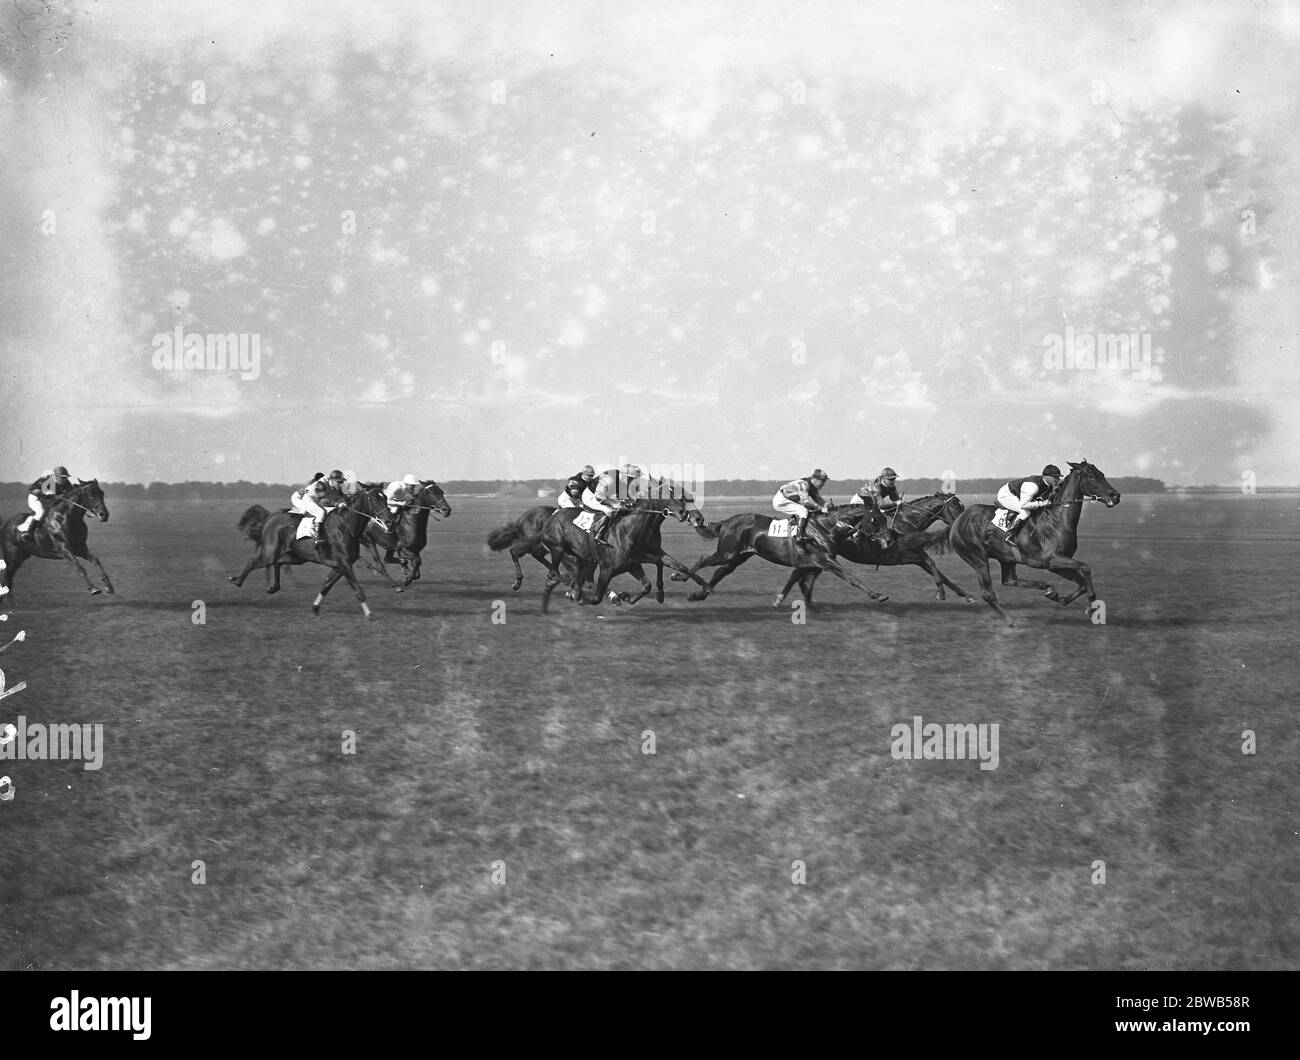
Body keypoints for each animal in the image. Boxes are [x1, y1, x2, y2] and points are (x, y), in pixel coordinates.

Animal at [228, 483, 397, 616]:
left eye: (385, 498)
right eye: (374, 499)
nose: (390, 521)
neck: (346, 526)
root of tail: (271, 517)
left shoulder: (340, 565)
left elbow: (326, 585)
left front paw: (315, 607)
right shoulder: (345, 564)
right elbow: (357, 589)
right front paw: (369, 614)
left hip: (296, 557)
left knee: (279, 563)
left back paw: (273, 587)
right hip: (270, 552)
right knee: (253, 561)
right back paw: (236, 580)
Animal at [535, 491, 712, 613]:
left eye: (683, 497)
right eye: (665, 495)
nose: (686, 514)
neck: (630, 530)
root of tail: (554, 515)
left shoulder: (636, 562)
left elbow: (655, 580)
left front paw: (704, 586)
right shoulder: (608, 569)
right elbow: (596, 598)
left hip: (583, 558)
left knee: (582, 579)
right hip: (558, 549)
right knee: (555, 574)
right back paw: (575, 590)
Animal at [670, 504, 894, 606]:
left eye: (884, 518)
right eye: (874, 520)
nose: (890, 540)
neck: (826, 528)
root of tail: (726, 522)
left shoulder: (810, 565)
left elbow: (802, 584)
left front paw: (808, 606)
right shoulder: (825, 561)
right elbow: (851, 577)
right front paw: (878, 595)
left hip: (738, 557)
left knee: (719, 574)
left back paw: (699, 594)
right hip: (727, 553)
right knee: (703, 560)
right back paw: (680, 576)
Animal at [769, 494, 977, 608]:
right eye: (956, 505)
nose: (964, 521)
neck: (906, 523)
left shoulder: (917, 555)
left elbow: (938, 570)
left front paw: (965, 595)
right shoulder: (902, 556)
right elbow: (933, 566)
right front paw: (941, 593)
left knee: (804, 575)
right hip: (822, 555)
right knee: (798, 574)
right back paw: (782, 600)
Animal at [941, 460, 1123, 626]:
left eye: (1102, 474)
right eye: (1091, 475)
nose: (1115, 496)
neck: (1057, 518)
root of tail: (958, 520)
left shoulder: (1056, 564)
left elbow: (1082, 583)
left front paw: (1061, 598)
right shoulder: (1052, 559)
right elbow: (1085, 568)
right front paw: (1092, 608)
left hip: (1007, 558)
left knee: (1010, 580)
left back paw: (1047, 588)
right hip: (977, 558)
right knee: (987, 592)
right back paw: (1009, 621)